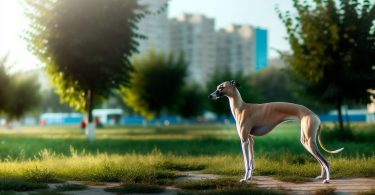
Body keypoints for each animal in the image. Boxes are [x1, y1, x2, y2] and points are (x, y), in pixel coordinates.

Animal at [210, 80, 346, 184]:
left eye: (221, 87)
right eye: (218, 87)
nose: (210, 96)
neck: (241, 107)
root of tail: (316, 116)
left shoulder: (244, 141)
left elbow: (246, 162)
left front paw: (244, 179)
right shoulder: (250, 140)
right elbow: (251, 162)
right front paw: (249, 178)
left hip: (308, 141)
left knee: (326, 161)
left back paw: (327, 180)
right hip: (307, 140)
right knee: (321, 160)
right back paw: (321, 177)